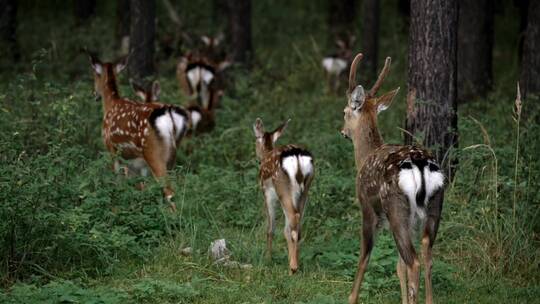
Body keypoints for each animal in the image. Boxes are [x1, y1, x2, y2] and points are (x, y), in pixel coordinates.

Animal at [88, 52, 190, 211]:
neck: (111, 104)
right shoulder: (137, 163)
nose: (94, 94)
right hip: (172, 155)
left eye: (95, 75)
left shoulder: (111, 150)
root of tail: (169, 114)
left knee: (169, 192)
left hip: (152, 152)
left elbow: (116, 182)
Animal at [254, 117, 314, 274]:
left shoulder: (266, 192)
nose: (258, 157)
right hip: (306, 188)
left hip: (282, 187)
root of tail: (297, 157)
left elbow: (270, 228)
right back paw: (295, 262)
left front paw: (268, 258)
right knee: (298, 223)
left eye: (256, 140)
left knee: (293, 219)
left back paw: (293, 267)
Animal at [342, 52, 448, 304]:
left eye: (344, 112)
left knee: (414, 261)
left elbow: (364, 257)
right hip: (433, 206)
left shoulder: (367, 207)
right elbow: (398, 267)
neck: (365, 156)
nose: (343, 132)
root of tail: (420, 166)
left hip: (395, 205)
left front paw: (352, 297)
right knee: (426, 254)